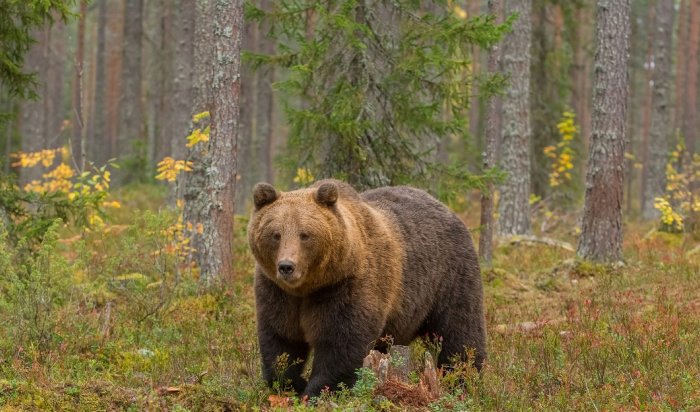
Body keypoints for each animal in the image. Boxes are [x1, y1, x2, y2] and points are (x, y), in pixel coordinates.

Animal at [247, 179, 486, 398]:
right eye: (275, 234)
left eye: (305, 234)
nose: (286, 266)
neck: (308, 287)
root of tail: (444, 206)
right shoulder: (277, 292)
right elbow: (281, 338)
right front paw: (290, 384)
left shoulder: (346, 285)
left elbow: (341, 341)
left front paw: (317, 391)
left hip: (449, 276)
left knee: (460, 330)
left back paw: (465, 378)